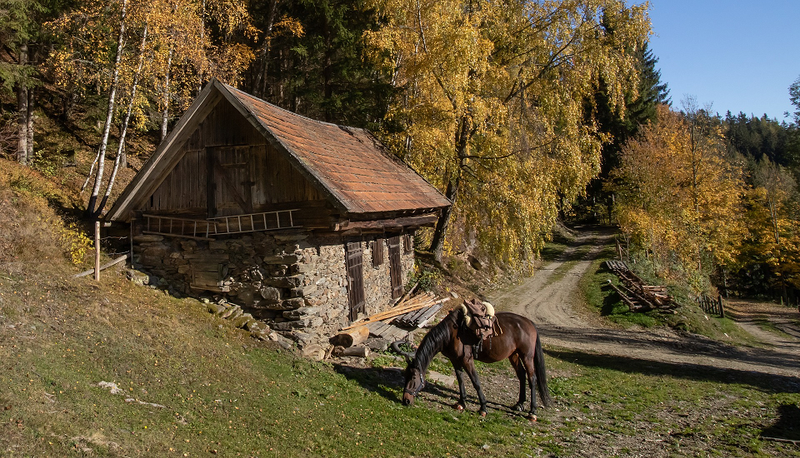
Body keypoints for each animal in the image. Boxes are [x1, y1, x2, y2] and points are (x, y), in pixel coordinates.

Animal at [392, 308, 552, 418]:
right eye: (405, 376)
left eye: (413, 377)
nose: (406, 400)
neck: (451, 334)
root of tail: (529, 323)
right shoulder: (455, 360)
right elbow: (461, 380)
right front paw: (461, 403)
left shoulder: (466, 360)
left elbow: (476, 382)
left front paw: (483, 408)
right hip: (513, 354)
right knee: (521, 375)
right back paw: (519, 404)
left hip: (527, 356)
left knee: (532, 378)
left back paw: (532, 412)